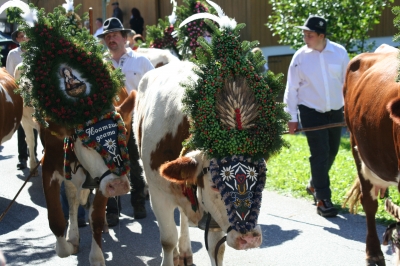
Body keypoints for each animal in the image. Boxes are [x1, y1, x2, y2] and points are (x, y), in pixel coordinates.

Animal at [134, 60, 264, 266]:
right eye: (215, 185)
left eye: (261, 181)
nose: (250, 238)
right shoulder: (158, 194)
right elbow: (168, 241)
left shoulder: (213, 216)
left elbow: (216, 249)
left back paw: (185, 251)